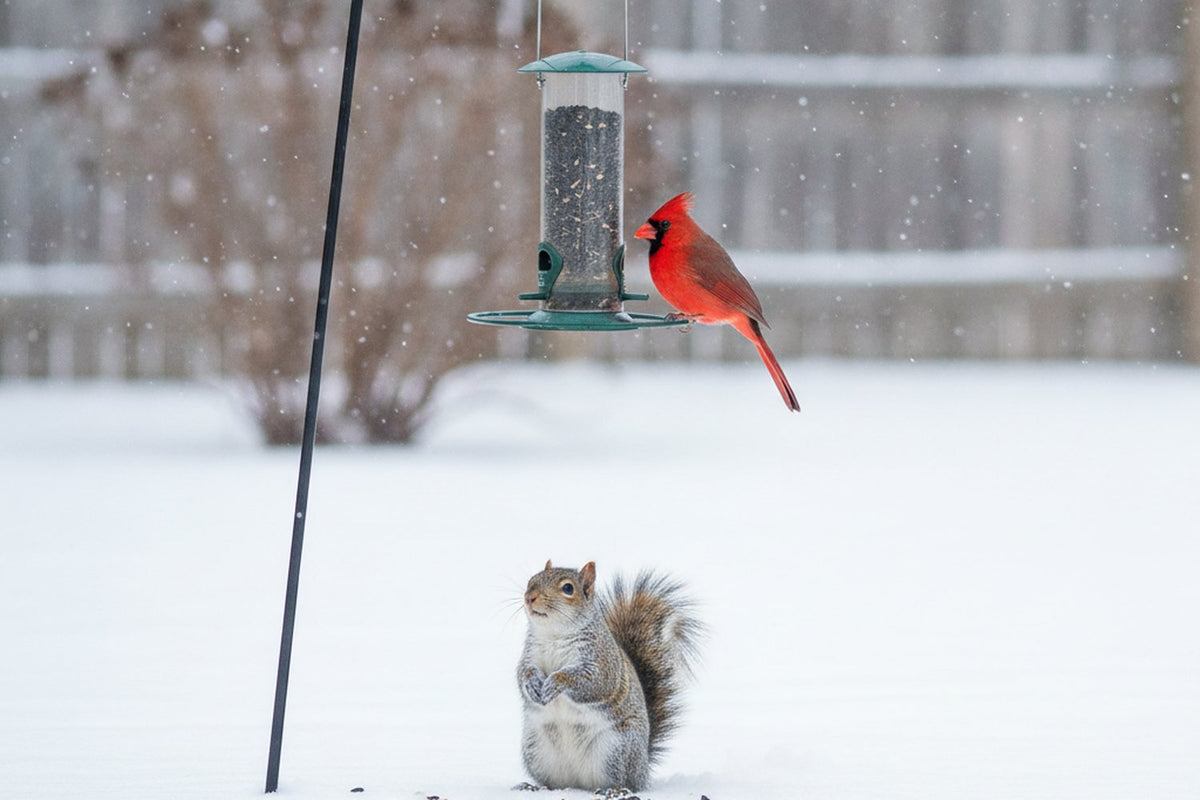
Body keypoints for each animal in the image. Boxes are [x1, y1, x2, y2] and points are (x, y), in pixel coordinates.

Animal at [517, 560, 702, 792]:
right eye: (531, 580)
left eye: (568, 588)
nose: (529, 597)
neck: (553, 635)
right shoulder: (529, 655)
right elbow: (523, 673)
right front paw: (532, 683)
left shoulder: (603, 662)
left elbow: (595, 682)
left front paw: (556, 682)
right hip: (536, 750)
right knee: (554, 780)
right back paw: (540, 787)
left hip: (617, 748)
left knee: (624, 780)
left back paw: (613, 790)